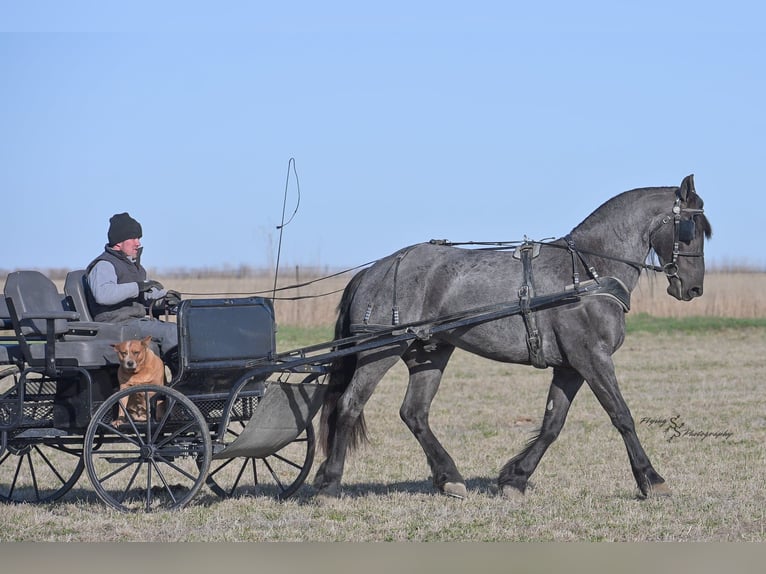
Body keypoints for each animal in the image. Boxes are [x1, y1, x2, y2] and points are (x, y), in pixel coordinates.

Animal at [314, 174, 712, 500]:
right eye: (690, 227)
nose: (693, 288)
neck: (588, 272)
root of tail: (376, 269)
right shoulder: (592, 357)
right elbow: (621, 414)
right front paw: (652, 480)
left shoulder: (570, 366)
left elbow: (552, 424)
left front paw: (514, 478)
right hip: (380, 351)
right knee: (350, 405)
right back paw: (329, 483)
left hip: (431, 351)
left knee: (414, 413)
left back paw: (450, 478)